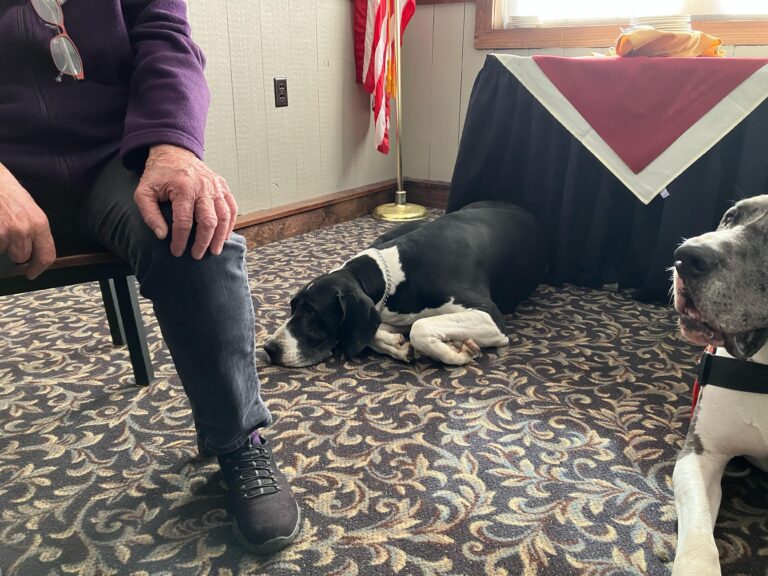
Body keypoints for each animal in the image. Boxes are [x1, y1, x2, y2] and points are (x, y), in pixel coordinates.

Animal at [264, 200, 544, 366]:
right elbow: (371, 331)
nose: (269, 348)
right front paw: (395, 344)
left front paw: (454, 352)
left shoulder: (490, 315)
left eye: (312, 311)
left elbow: (420, 327)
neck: (391, 276)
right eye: (292, 307)